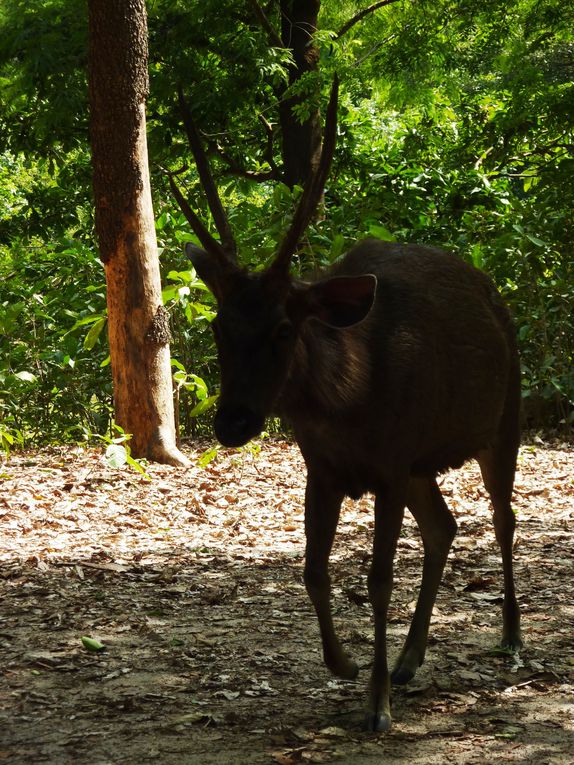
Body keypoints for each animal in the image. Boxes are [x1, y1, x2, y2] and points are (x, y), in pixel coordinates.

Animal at [170, 79, 520, 736]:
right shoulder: (328, 468)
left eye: (284, 329)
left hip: (502, 421)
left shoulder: (389, 465)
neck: (350, 399)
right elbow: (312, 568)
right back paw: (410, 658)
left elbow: (378, 579)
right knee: (444, 525)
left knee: (502, 519)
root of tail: (493, 291)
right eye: (219, 327)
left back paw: (510, 640)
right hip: (421, 464)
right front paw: (345, 664)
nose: (231, 422)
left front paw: (376, 705)